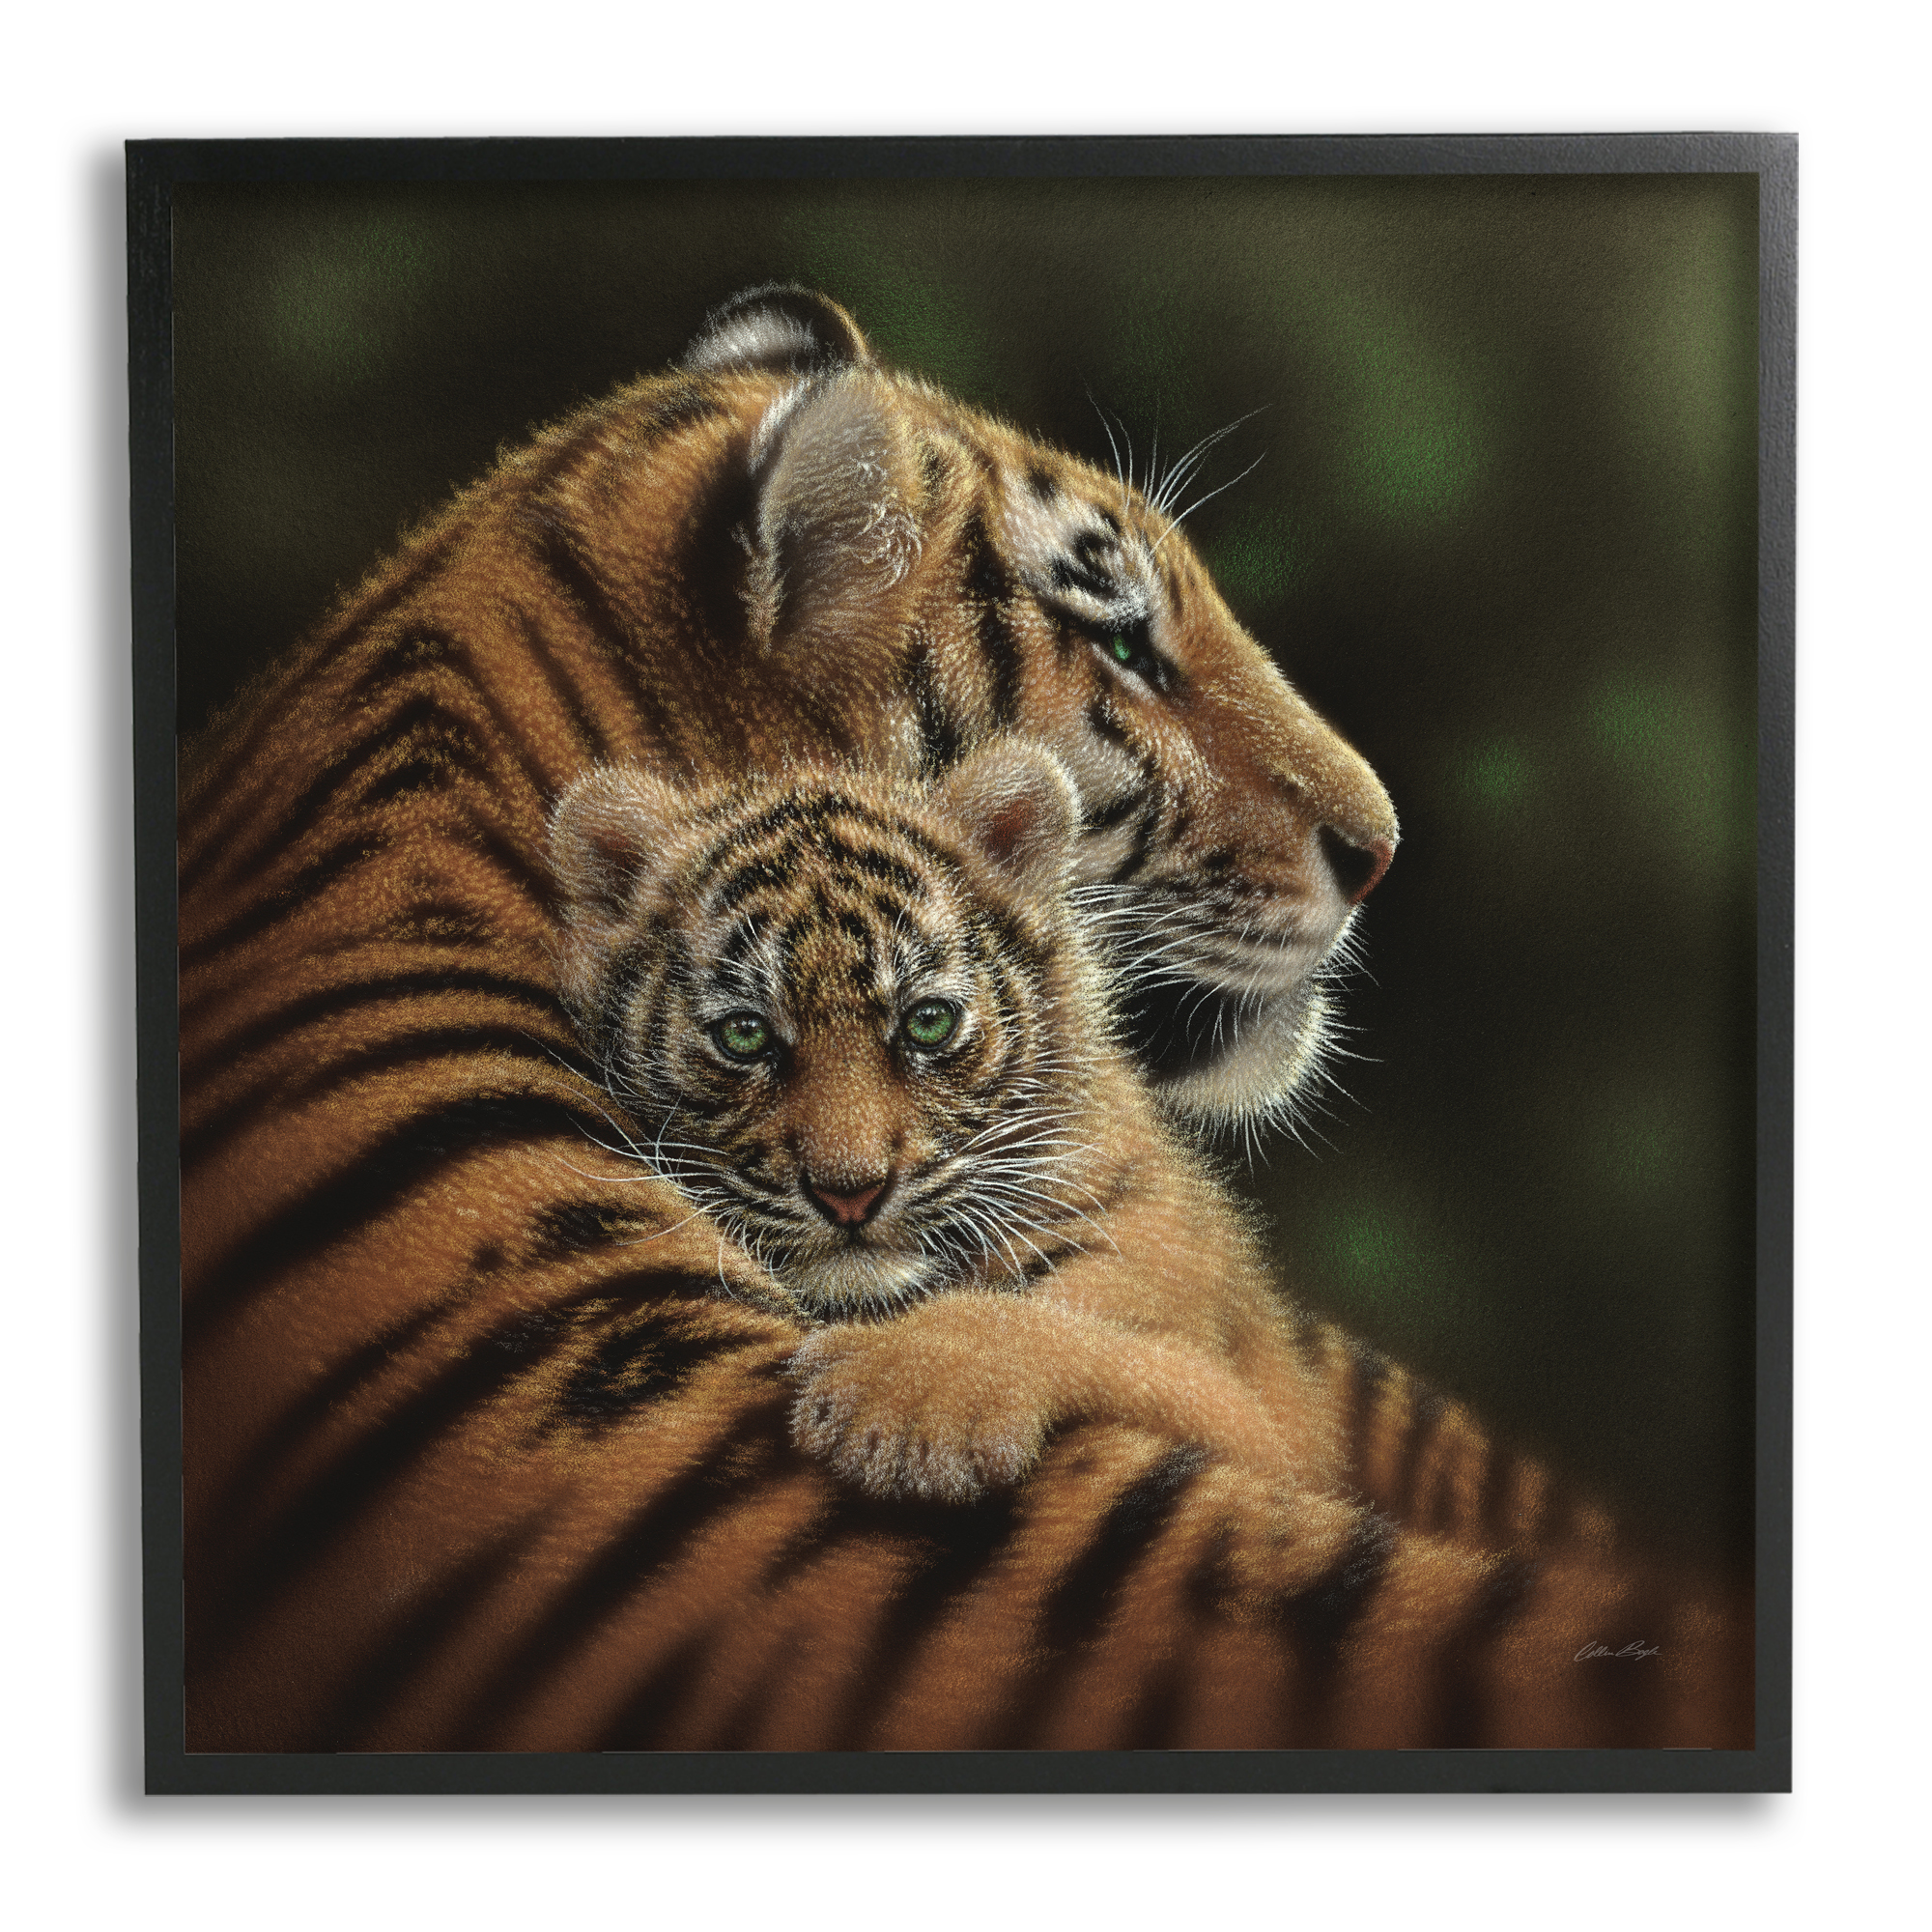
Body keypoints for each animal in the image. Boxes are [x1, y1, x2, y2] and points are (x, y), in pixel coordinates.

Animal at [550, 743, 1345, 1506]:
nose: (849, 1194)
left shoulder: (1259, 1424)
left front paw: (902, 1404)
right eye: (744, 1035)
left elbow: (1094, 1341)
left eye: (927, 1022)